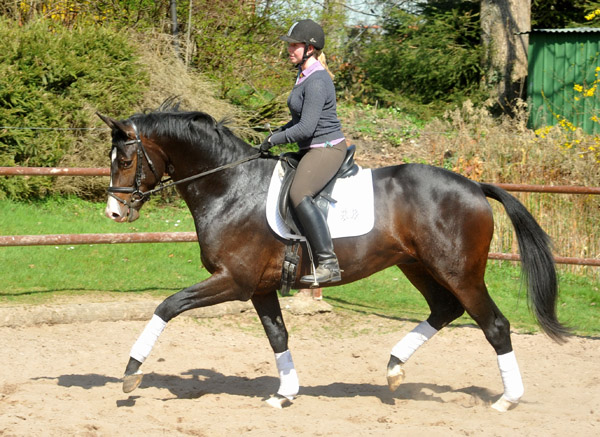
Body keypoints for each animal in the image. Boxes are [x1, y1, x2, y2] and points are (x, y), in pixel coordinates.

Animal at [97, 104, 568, 410]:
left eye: (126, 160)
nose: (114, 213)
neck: (230, 187)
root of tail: (474, 186)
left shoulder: (235, 280)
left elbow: (167, 306)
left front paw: (131, 373)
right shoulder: (260, 287)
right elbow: (278, 336)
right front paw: (285, 393)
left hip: (459, 271)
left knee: (494, 325)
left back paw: (508, 399)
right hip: (417, 265)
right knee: (445, 309)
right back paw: (394, 368)